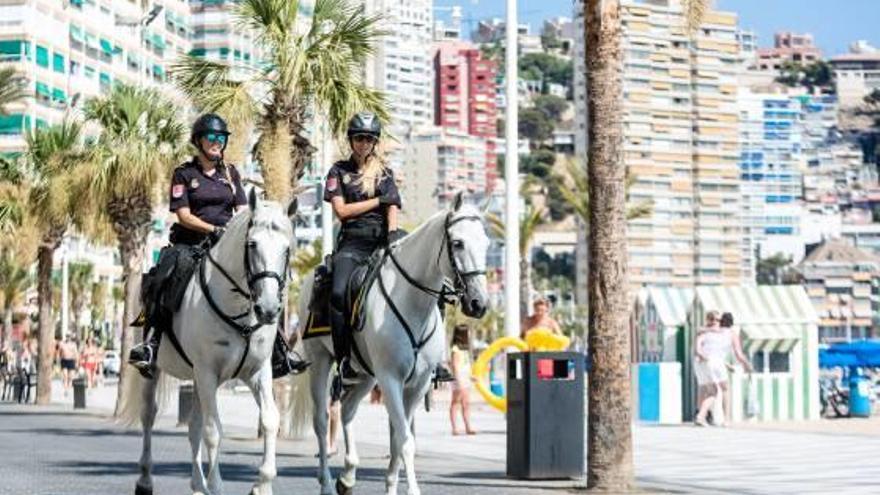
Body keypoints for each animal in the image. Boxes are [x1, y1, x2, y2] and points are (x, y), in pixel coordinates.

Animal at [120, 189, 300, 495]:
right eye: (252, 244)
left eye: (287, 249)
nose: (267, 309)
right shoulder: (207, 372)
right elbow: (213, 430)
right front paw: (216, 486)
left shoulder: (258, 372)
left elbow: (270, 420)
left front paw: (262, 483)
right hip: (158, 370)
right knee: (149, 416)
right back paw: (145, 480)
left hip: (197, 377)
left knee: (193, 424)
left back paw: (196, 485)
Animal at [294, 194, 492, 495]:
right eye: (458, 243)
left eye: (487, 243)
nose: (479, 303)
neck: (412, 300)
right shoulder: (390, 380)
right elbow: (405, 441)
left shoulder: (417, 384)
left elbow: (400, 439)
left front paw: (390, 485)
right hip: (320, 361)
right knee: (322, 419)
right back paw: (326, 483)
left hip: (365, 374)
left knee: (348, 410)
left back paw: (348, 476)